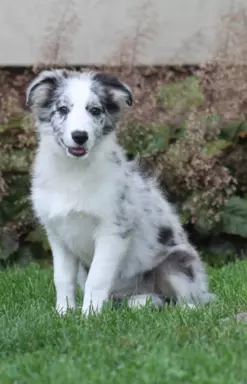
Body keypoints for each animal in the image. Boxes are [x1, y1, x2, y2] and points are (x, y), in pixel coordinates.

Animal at [26, 69, 213, 316]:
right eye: (63, 109)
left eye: (95, 110)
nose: (80, 136)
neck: (74, 172)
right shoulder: (57, 234)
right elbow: (62, 279)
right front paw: (64, 314)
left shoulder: (112, 231)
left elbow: (97, 278)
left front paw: (89, 316)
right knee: (152, 300)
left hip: (175, 262)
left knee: (192, 301)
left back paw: (186, 309)